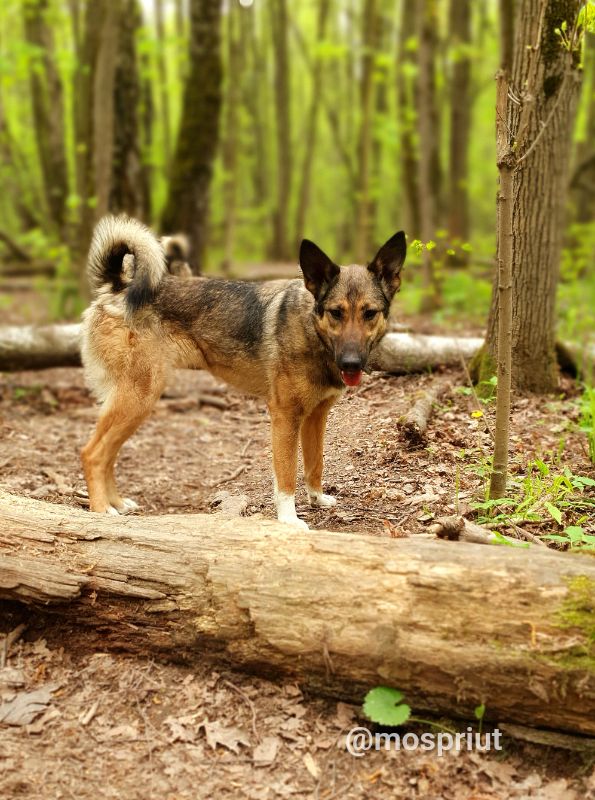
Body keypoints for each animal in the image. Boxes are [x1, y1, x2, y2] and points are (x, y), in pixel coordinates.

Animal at [80, 216, 406, 528]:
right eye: (336, 312)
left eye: (369, 313)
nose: (351, 363)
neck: (311, 329)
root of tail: (117, 287)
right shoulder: (285, 417)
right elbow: (287, 476)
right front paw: (289, 520)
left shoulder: (316, 416)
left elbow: (315, 464)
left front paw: (317, 499)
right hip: (139, 399)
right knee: (92, 454)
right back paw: (101, 511)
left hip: (133, 404)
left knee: (107, 456)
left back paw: (117, 504)